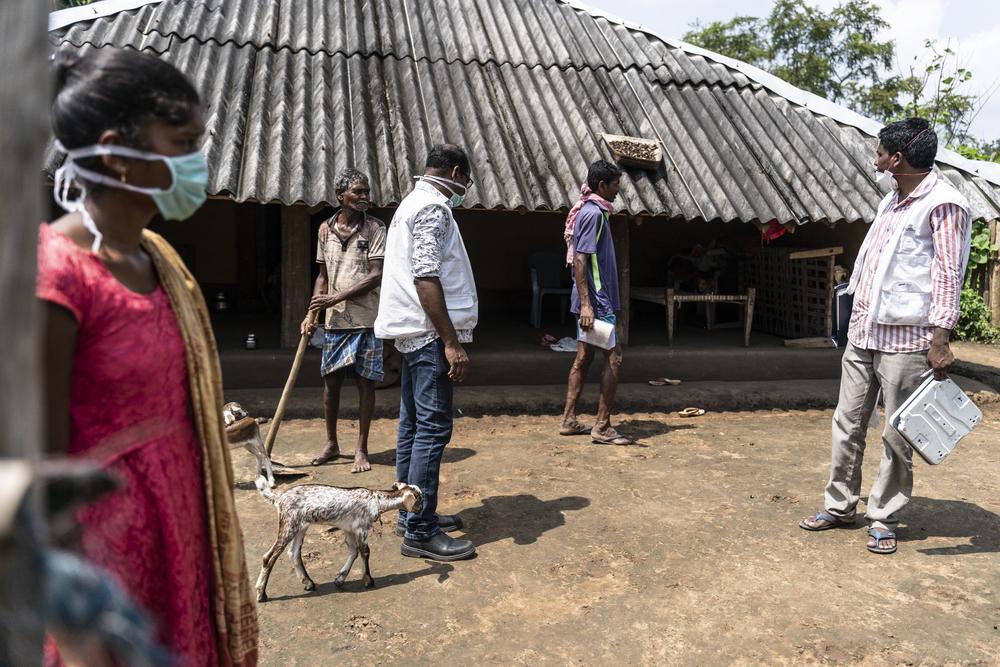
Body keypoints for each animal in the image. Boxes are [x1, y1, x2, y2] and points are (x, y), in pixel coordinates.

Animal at [254, 478, 422, 604]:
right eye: (419, 499)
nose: (420, 509)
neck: (377, 500)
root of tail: (279, 498)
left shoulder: (349, 529)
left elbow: (353, 551)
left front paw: (340, 579)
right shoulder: (361, 528)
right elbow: (365, 552)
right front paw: (368, 581)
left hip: (300, 526)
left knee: (294, 552)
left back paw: (308, 582)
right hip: (288, 524)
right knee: (269, 557)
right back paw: (261, 594)